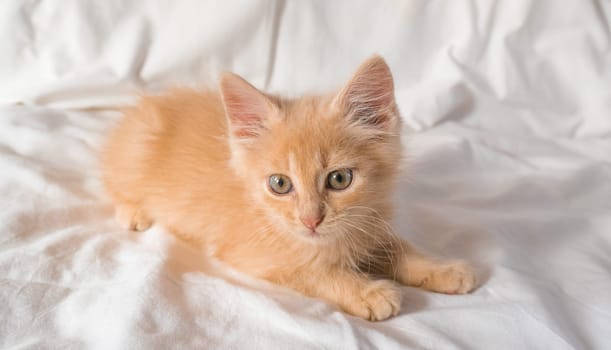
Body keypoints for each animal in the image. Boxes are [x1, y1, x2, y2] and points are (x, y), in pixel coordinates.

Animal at [103, 56, 478, 322]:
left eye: (339, 179)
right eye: (280, 184)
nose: (311, 220)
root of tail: (149, 103)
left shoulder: (368, 223)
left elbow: (398, 248)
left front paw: (443, 269)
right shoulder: (256, 255)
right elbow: (315, 271)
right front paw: (367, 293)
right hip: (134, 152)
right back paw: (132, 212)